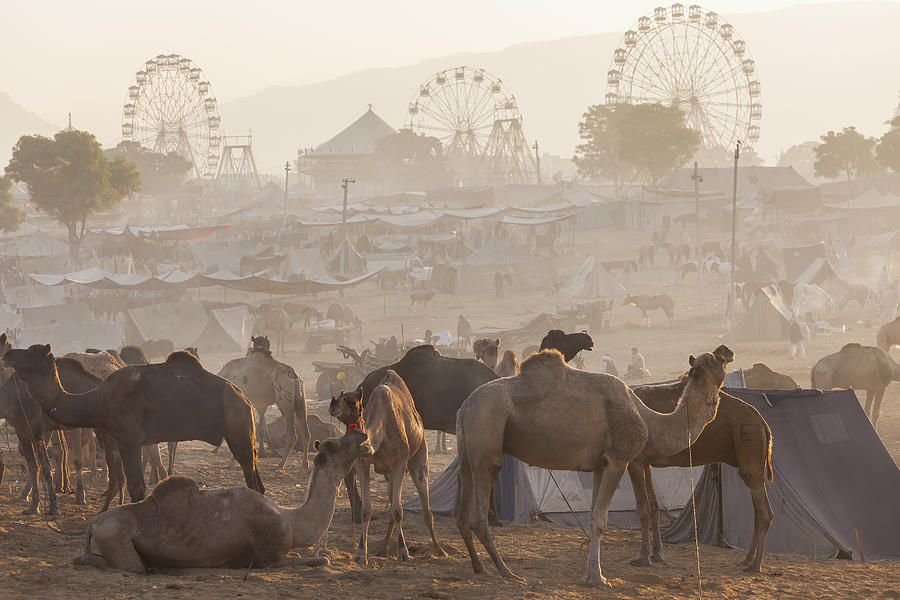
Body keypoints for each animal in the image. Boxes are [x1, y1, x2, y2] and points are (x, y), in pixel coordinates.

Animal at [2, 344, 264, 504]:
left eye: (30, 352)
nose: (8, 355)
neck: (100, 399)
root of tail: (245, 398)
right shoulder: (122, 440)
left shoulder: (129, 439)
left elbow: (136, 487)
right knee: (258, 482)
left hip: (238, 429)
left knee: (250, 479)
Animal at [72, 432, 374, 572]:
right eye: (340, 443)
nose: (363, 435)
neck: (292, 519)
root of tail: (94, 523)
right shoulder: (268, 556)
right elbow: (321, 559)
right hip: (115, 536)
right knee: (125, 564)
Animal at [328, 370, 444, 564]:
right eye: (341, 395)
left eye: (354, 402)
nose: (333, 401)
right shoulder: (362, 463)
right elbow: (366, 510)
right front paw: (360, 553)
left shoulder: (400, 463)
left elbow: (398, 510)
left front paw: (404, 552)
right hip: (388, 474)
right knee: (391, 503)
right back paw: (383, 549)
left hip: (419, 455)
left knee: (425, 506)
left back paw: (439, 549)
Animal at [458, 346, 732, 584]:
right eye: (719, 360)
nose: (727, 351)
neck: (648, 420)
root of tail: (465, 406)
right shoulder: (618, 459)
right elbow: (601, 521)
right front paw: (597, 578)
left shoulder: (600, 465)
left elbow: (592, 517)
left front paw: (593, 572)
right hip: (487, 429)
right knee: (479, 515)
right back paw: (506, 571)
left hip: (467, 450)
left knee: (463, 511)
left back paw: (479, 566)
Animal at [628, 376, 776, 572]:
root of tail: (763, 423)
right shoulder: (645, 462)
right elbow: (653, 505)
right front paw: (657, 555)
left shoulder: (635, 461)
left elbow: (643, 507)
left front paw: (642, 558)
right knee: (758, 510)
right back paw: (747, 560)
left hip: (749, 444)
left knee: (763, 509)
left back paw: (755, 565)